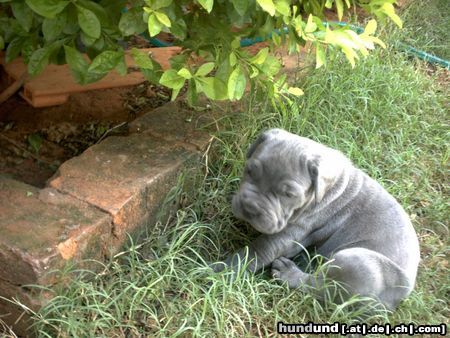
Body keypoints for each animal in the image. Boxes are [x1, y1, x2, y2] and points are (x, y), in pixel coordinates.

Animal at [214, 128, 418, 310]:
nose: (250, 207)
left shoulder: (287, 236)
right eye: (249, 170)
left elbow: (252, 253)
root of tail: (393, 303)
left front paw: (217, 271)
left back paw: (289, 273)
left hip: (358, 262)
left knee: (320, 287)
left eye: (289, 194)